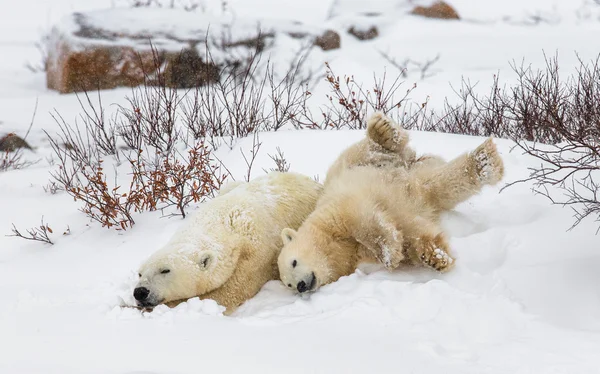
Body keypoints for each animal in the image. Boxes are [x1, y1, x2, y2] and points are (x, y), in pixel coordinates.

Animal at [133, 171, 324, 314]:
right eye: (140, 274)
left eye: (165, 270)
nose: (140, 292)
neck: (225, 223)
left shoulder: (256, 256)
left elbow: (228, 293)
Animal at [278, 112, 504, 294]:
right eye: (288, 284)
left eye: (294, 262)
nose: (301, 286)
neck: (339, 245)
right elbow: (411, 237)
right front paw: (435, 256)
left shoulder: (338, 209)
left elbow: (365, 221)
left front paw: (390, 254)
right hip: (416, 177)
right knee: (439, 184)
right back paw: (485, 162)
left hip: (367, 164)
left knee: (367, 150)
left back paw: (382, 130)